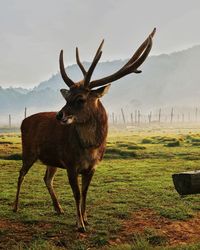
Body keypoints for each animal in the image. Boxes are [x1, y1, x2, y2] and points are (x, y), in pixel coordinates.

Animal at [13, 27, 156, 232]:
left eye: (80, 99)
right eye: (67, 98)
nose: (59, 116)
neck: (91, 149)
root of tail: (23, 121)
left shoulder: (92, 167)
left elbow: (86, 193)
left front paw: (85, 218)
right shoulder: (71, 164)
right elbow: (77, 193)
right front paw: (80, 224)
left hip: (52, 159)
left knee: (47, 178)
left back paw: (58, 208)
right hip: (29, 151)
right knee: (21, 174)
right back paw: (16, 207)